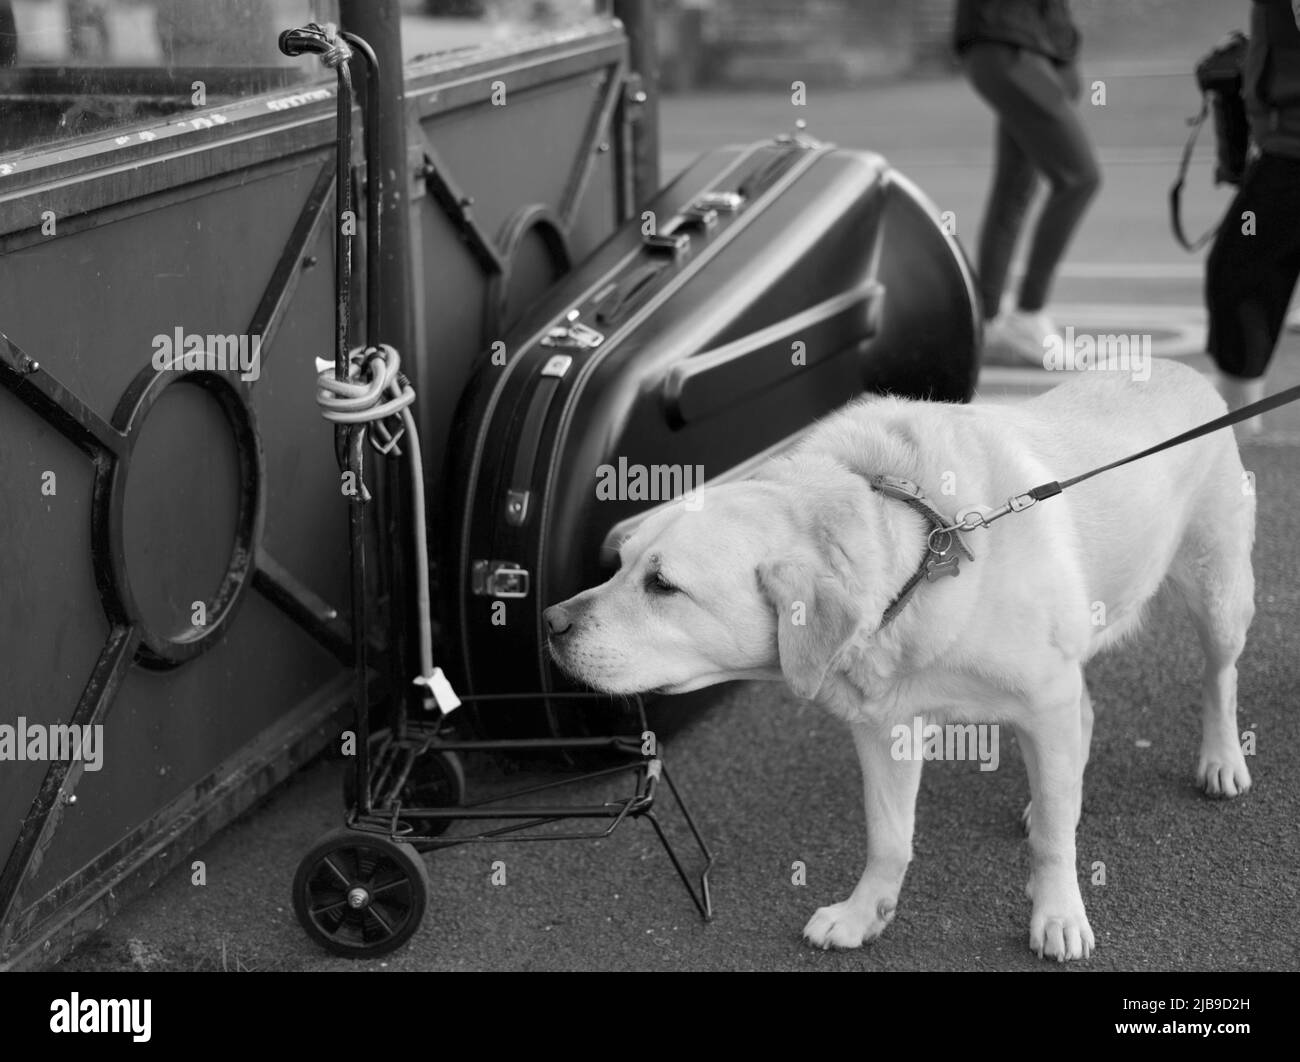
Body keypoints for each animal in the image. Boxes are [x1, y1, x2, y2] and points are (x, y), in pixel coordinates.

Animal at [543, 356, 1253, 961]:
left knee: (1218, 678)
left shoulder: (1042, 694)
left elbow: (1055, 839)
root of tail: (1181, 366)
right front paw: (865, 914)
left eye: (663, 585)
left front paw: (1057, 914)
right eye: (621, 564)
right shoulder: (885, 726)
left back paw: (1221, 760)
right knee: (1083, 720)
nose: (549, 622)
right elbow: (888, 839)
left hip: (1218, 592)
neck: (922, 547)